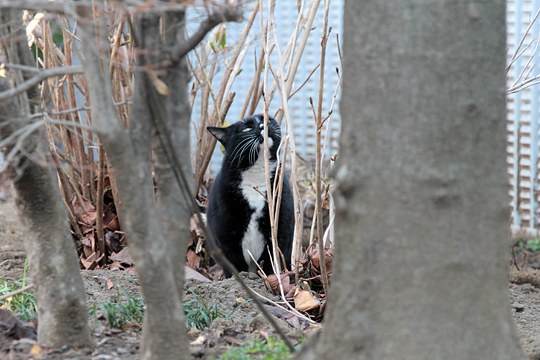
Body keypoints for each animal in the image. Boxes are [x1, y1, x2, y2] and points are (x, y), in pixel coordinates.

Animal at [207, 114, 294, 278]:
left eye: (269, 119)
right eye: (247, 128)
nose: (263, 125)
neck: (257, 175)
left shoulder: (281, 223)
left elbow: (273, 257)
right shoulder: (225, 231)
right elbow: (234, 261)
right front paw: (242, 279)